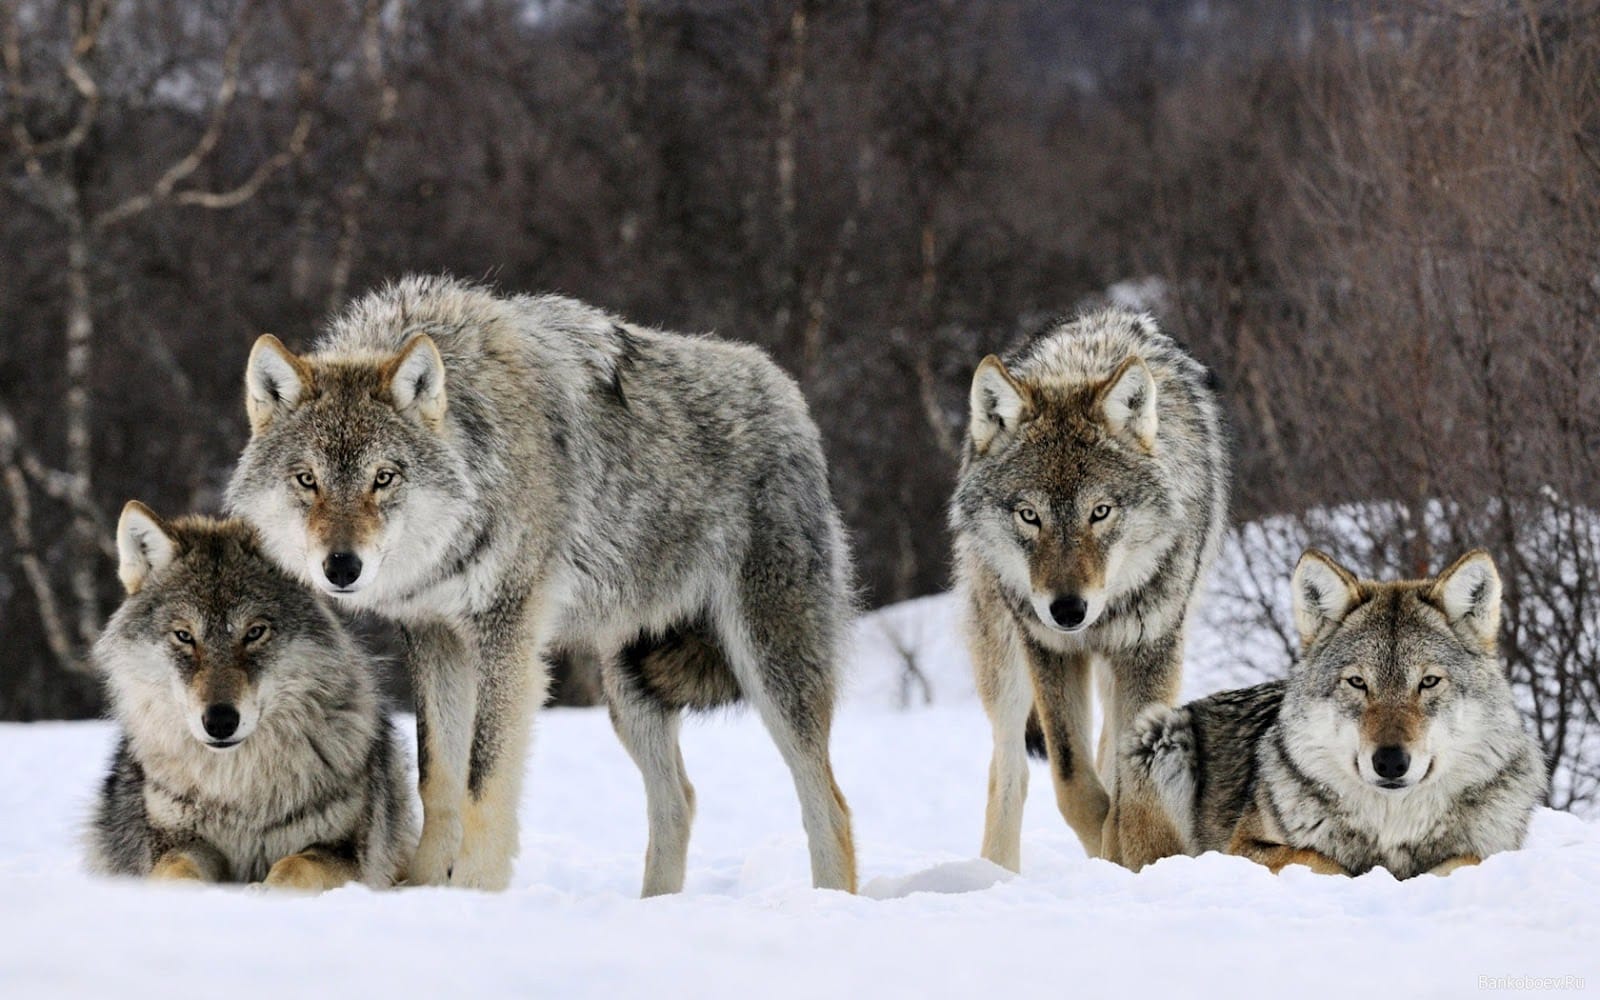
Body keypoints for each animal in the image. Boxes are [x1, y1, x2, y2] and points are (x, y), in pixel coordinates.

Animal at [88, 503, 415, 890]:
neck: (238, 791)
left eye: (255, 632)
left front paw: (265, 892)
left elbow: (295, 866)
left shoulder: (344, 851)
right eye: (184, 636)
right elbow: (176, 871)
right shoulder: (176, 842)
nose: (220, 721)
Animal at [225, 275, 856, 895]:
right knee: (679, 800)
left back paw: (829, 901)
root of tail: (787, 392)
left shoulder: (508, 636)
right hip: (629, 689)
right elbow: (438, 777)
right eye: (307, 479)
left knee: (829, 804)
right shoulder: (434, 637)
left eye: (384, 478)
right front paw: (423, 888)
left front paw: (473, 891)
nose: (341, 567)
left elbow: (483, 780)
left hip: (770, 667)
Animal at [950, 309, 1228, 871]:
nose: (1067, 610)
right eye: (1029, 515)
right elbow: (1073, 781)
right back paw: (995, 874)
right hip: (1003, 657)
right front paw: (1106, 846)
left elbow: (1127, 782)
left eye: (1100, 512)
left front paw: (1126, 853)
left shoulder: (1151, 649)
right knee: (1009, 770)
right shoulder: (1050, 649)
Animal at [1128, 549, 1547, 878]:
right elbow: (1321, 860)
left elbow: (1466, 860)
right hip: (1160, 734)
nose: (1390, 762)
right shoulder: (1243, 848)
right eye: (1358, 683)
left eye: (1428, 682)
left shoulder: (1492, 850)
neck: (1392, 827)